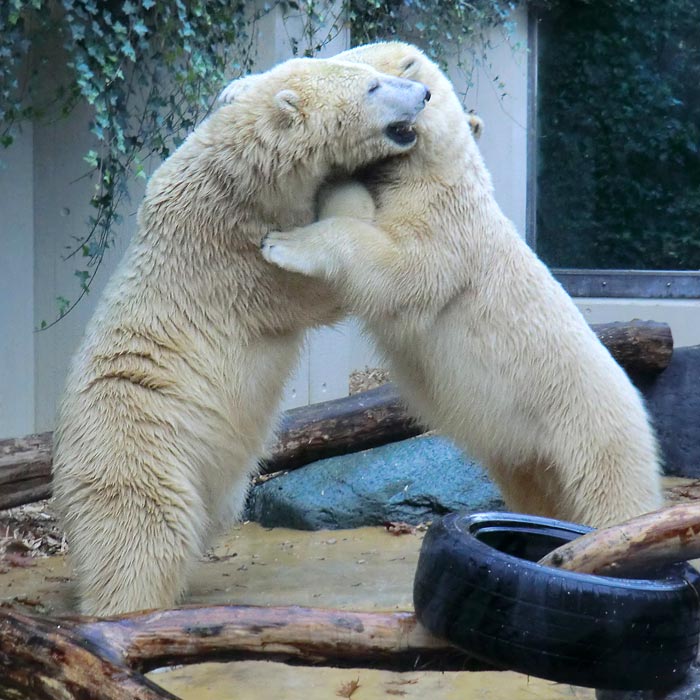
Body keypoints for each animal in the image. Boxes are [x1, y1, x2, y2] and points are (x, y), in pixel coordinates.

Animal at [52, 54, 430, 616]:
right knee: (142, 535)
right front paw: (344, 193)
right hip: (138, 442)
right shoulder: (233, 258)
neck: (239, 180)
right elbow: (319, 284)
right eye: (372, 87)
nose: (425, 94)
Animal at [262, 42, 660, 524]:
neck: (434, 164)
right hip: (531, 454)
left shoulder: (446, 226)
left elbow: (400, 274)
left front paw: (283, 243)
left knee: (614, 497)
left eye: (354, 68)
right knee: (535, 488)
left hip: (590, 430)